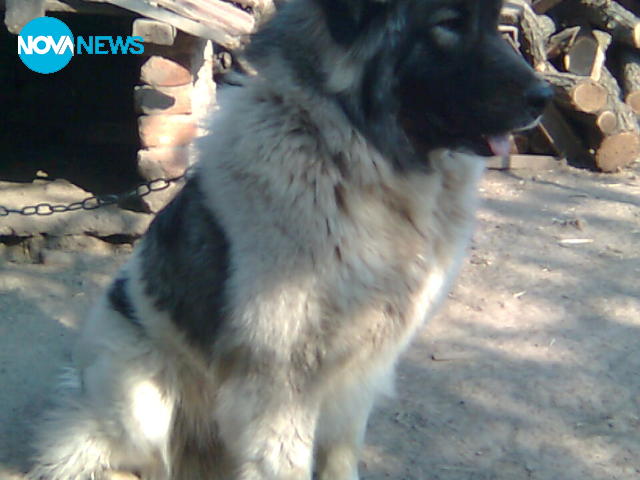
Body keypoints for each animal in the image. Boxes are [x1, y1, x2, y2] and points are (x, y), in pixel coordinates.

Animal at [28, 0, 552, 480]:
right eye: (449, 24)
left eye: (494, 24)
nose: (544, 95)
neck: (348, 161)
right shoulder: (279, 381)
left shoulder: (358, 375)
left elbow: (340, 458)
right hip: (140, 390)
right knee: (102, 455)